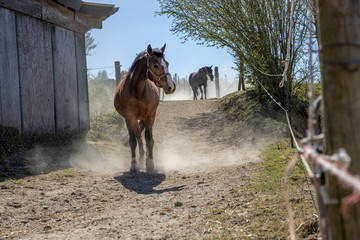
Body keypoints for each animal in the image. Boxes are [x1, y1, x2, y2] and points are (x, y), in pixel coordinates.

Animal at [112, 44, 174, 172]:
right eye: (155, 65)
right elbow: (133, 140)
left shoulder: (149, 115)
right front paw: (134, 164)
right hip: (135, 120)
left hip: (148, 118)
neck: (138, 91)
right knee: (139, 138)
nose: (171, 86)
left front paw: (150, 163)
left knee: (145, 137)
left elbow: (149, 140)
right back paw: (140, 160)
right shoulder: (129, 117)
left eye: (167, 63)